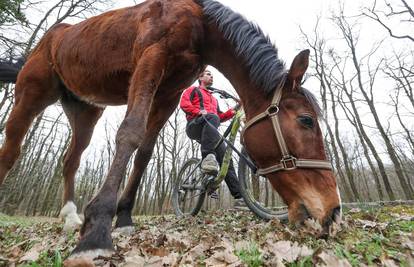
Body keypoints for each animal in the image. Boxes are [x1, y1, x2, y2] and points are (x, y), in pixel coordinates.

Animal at [0, 0, 340, 258]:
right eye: (306, 121)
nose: (333, 210)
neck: (200, 24)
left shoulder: (168, 93)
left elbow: (145, 151)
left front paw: (123, 216)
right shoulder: (150, 61)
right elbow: (130, 133)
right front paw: (97, 230)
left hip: (85, 111)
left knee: (70, 160)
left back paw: (71, 217)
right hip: (30, 96)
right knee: (11, 152)